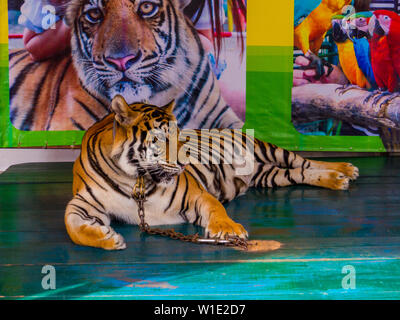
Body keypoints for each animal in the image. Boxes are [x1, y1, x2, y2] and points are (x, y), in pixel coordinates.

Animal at [65, 95, 360, 250]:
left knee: (305, 161)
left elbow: (217, 208)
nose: (185, 164)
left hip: (268, 149)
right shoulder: (83, 203)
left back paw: (344, 169)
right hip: (269, 175)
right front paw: (106, 238)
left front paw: (229, 230)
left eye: (180, 134)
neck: (135, 178)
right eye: (161, 138)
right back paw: (337, 179)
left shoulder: (195, 194)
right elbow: (72, 226)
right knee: (298, 173)